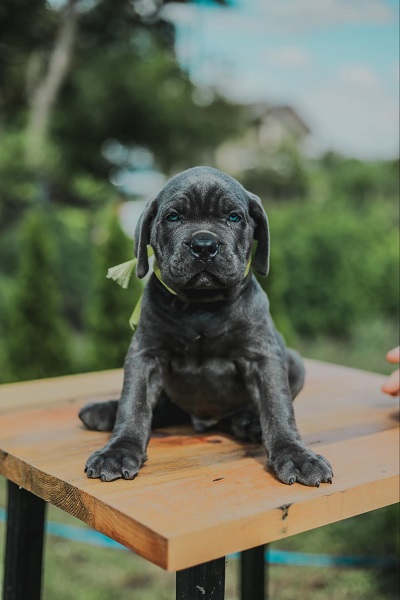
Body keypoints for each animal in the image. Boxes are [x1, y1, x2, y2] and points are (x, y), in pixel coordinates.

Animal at [79, 165, 332, 488]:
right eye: (174, 217)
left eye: (234, 217)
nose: (204, 246)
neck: (202, 305)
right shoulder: (146, 354)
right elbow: (133, 404)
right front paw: (118, 450)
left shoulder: (262, 355)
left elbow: (277, 406)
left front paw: (296, 455)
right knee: (160, 408)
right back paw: (103, 411)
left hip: (295, 361)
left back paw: (249, 423)